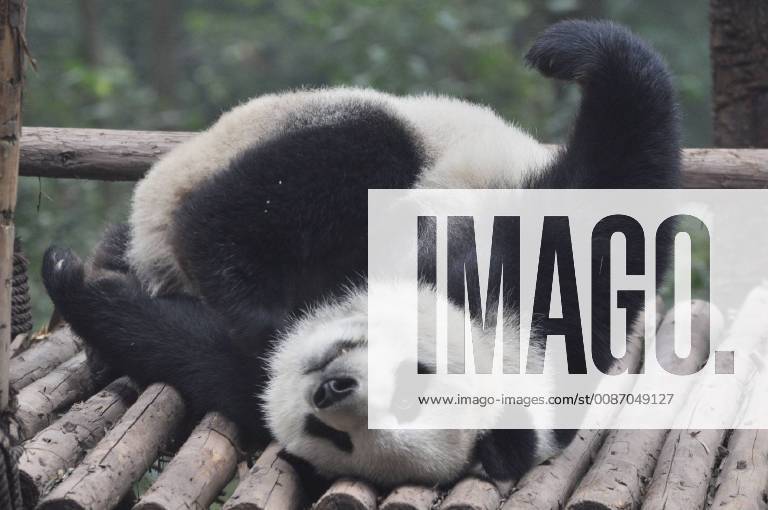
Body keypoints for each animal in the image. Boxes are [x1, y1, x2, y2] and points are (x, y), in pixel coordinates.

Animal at [42, 20, 680, 489]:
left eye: (338, 438)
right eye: (416, 375)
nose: (332, 389)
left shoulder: (247, 385)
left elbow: (190, 349)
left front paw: (86, 294)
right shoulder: (533, 282)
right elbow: (612, 191)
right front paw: (572, 50)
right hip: (317, 131)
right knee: (333, 165)